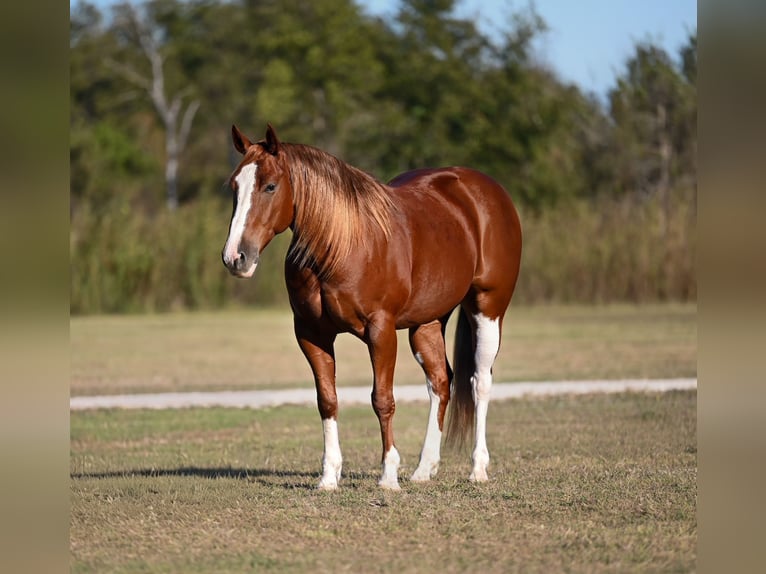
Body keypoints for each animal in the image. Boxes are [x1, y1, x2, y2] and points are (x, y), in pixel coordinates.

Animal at [222, 124, 522, 490]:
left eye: (270, 186)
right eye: (235, 186)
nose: (235, 257)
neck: (340, 244)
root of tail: (487, 191)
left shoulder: (381, 331)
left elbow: (382, 400)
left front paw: (388, 475)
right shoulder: (311, 334)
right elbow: (327, 400)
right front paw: (329, 476)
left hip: (487, 307)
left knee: (480, 381)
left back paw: (477, 468)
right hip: (427, 323)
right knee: (440, 382)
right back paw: (424, 469)